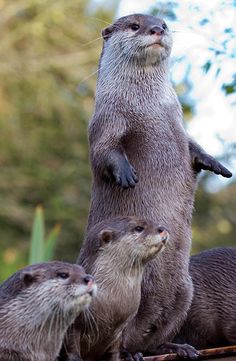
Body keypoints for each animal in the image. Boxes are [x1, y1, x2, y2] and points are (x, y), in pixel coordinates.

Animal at [60, 215, 168, 358]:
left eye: (152, 222)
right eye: (139, 228)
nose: (162, 228)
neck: (112, 302)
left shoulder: (120, 329)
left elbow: (115, 351)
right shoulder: (73, 324)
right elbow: (72, 346)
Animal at [84, 13, 230, 358]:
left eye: (162, 23)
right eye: (135, 25)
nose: (157, 30)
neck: (151, 108)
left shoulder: (181, 129)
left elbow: (194, 148)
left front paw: (217, 165)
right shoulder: (105, 121)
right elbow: (104, 151)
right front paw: (126, 174)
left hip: (185, 290)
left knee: (153, 336)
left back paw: (176, 347)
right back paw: (129, 353)